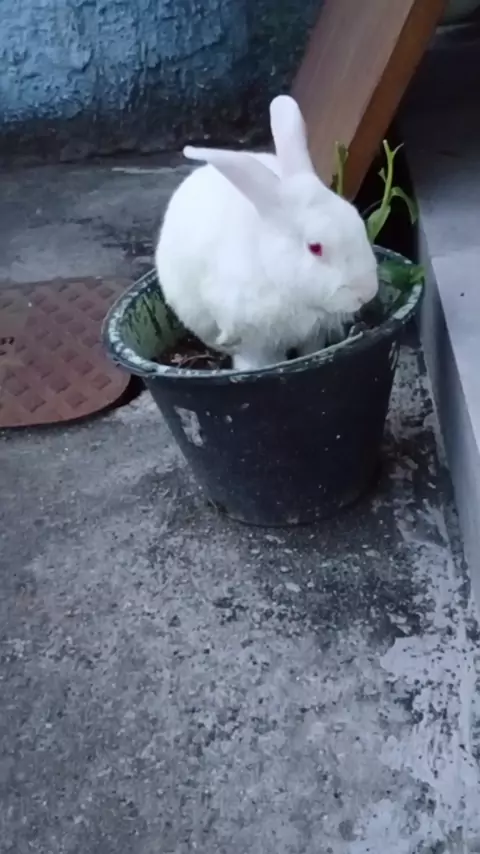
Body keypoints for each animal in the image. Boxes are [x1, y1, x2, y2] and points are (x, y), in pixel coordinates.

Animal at [154, 94, 378, 372]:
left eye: (357, 219)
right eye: (315, 247)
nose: (367, 292)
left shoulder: (313, 334)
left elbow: (311, 350)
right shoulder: (252, 342)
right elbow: (258, 362)